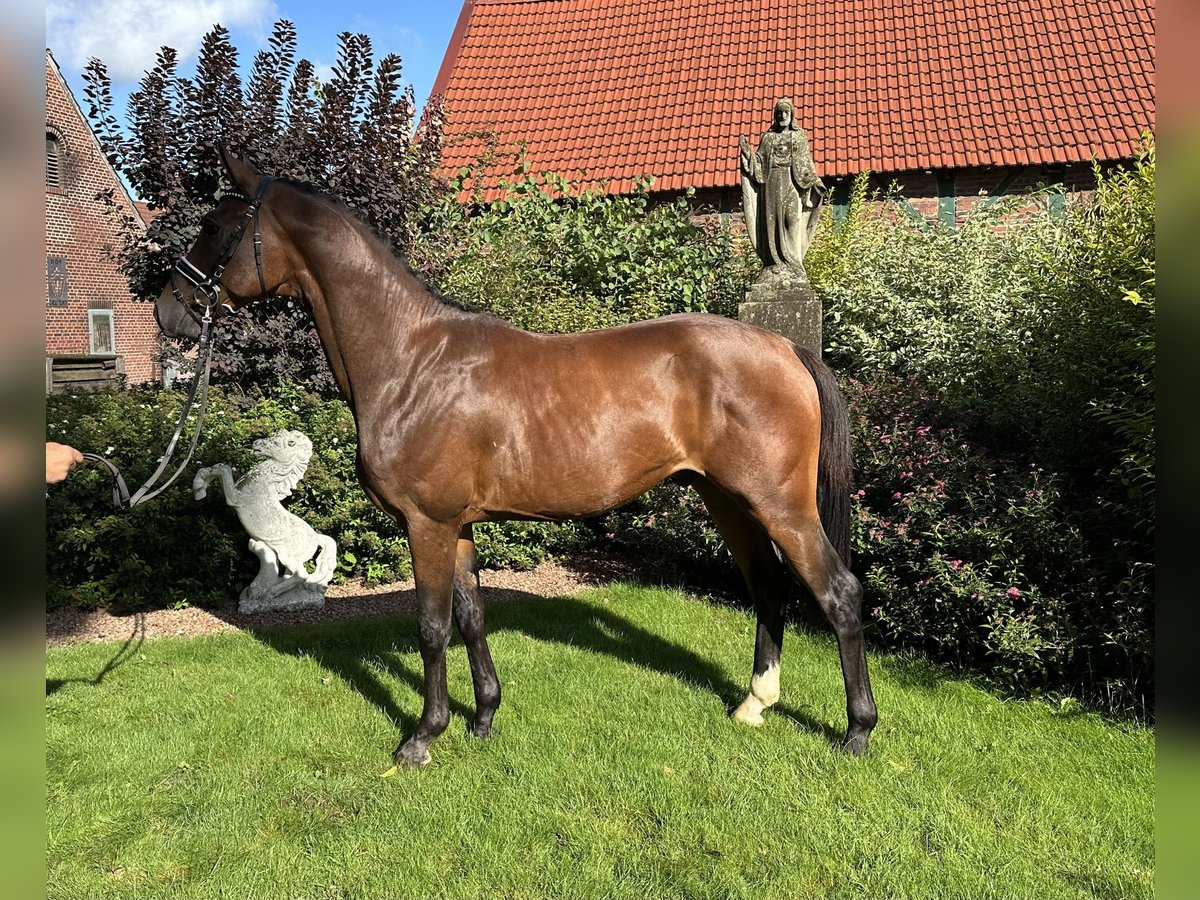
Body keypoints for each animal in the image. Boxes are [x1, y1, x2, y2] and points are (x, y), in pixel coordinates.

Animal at [154, 148, 878, 768]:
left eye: (215, 227)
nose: (169, 312)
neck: (410, 360)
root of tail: (785, 348)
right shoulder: (457, 526)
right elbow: (472, 619)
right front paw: (482, 719)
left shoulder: (426, 524)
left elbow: (431, 627)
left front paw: (422, 738)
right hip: (727, 500)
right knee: (768, 588)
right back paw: (754, 705)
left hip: (779, 504)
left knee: (838, 592)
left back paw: (856, 732)